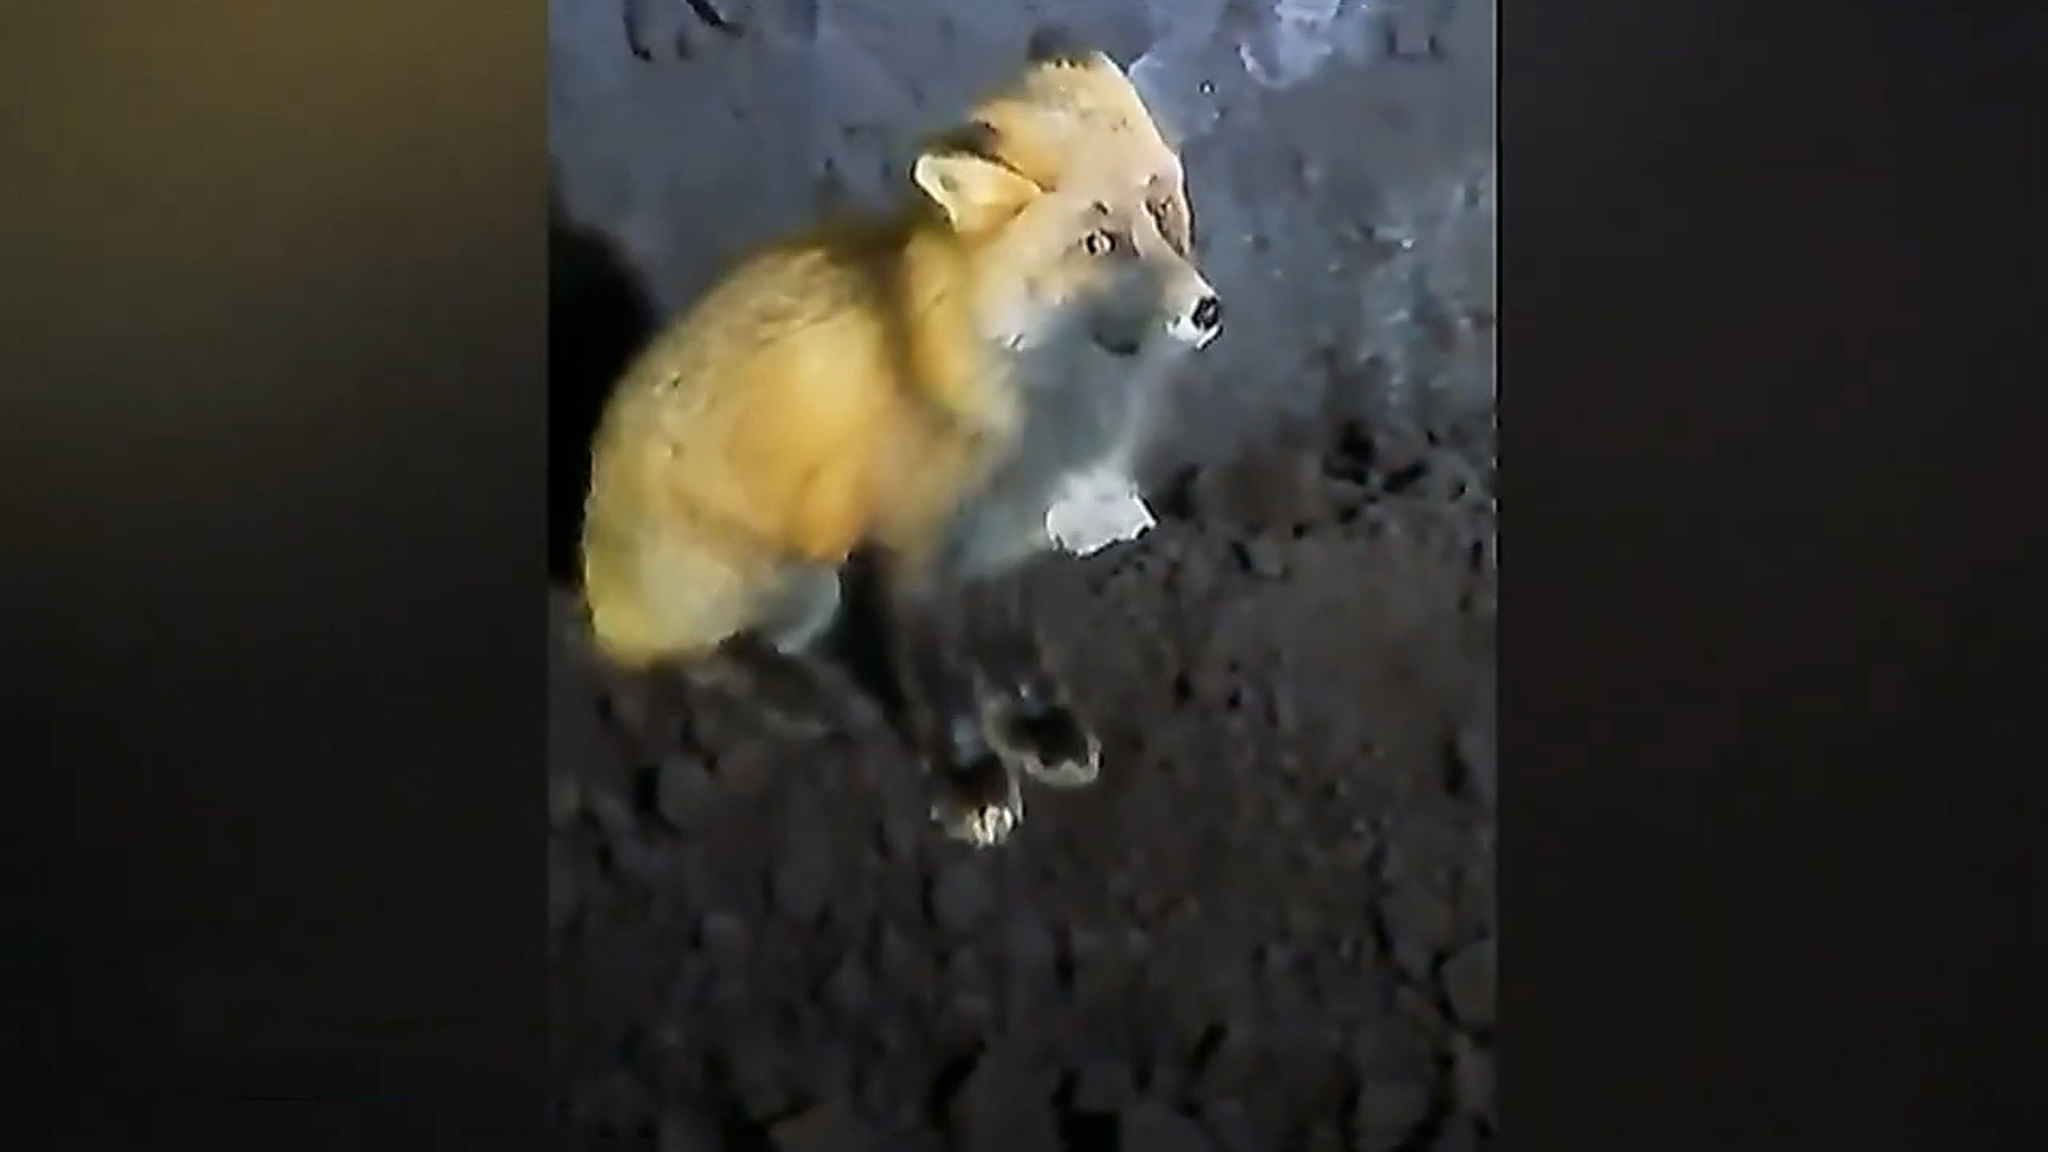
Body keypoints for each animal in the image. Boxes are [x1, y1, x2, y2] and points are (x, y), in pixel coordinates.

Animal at [577, 51, 1221, 845]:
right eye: (1098, 244)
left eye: (1162, 210)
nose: (1206, 310)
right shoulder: (908, 552)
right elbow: (942, 683)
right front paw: (972, 776)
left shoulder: (1007, 529)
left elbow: (1011, 644)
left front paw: (1041, 726)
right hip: (802, 582)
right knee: (686, 660)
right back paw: (799, 694)